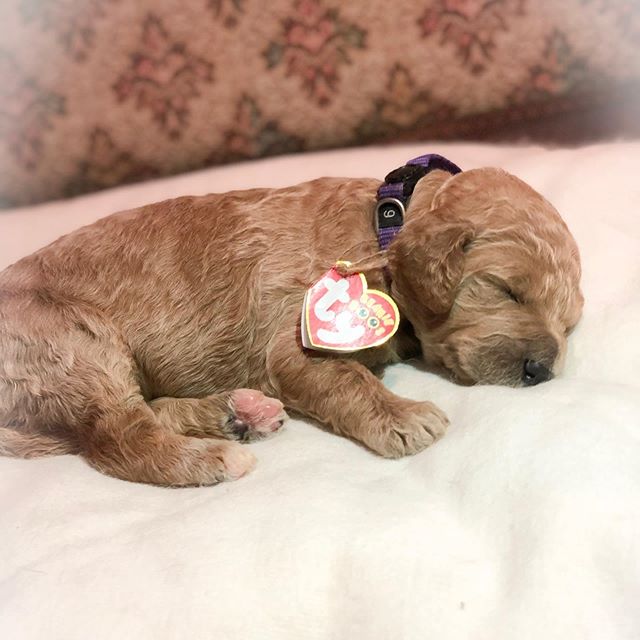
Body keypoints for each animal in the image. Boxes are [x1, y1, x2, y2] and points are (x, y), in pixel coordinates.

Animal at [0, 159, 584, 484]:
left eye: (570, 321)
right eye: (507, 290)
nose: (541, 370)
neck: (385, 225)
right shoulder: (297, 337)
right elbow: (345, 377)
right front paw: (403, 416)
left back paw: (239, 413)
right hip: (77, 343)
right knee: (116, 436)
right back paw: (215, 458)